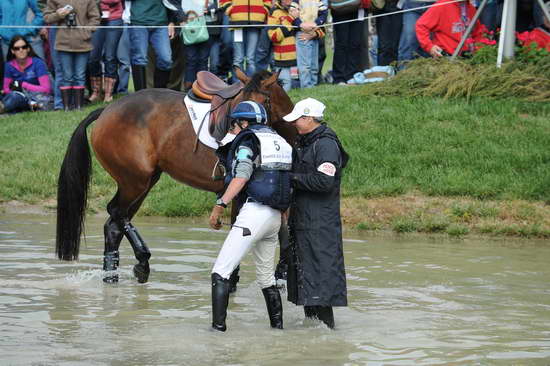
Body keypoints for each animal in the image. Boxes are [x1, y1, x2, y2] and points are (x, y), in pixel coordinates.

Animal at [56, 70, 298, 284]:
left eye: (261, 103)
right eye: (237, 103)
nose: (233, 140)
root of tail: (108, 109)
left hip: (143, 183)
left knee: (115, 224)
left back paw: (112, 276)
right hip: (135, 181)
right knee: (116, 212)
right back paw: (142, 261)